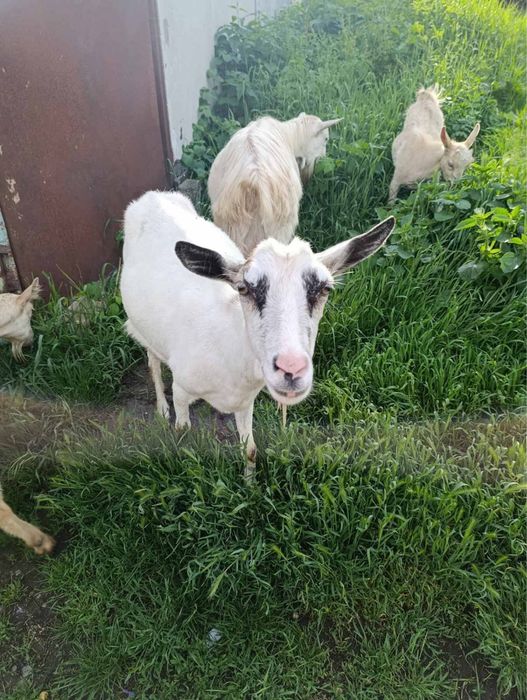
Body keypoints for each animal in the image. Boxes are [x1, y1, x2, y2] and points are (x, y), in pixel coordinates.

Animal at [120, 191, 394, 479]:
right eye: (244, 288)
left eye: (325, 288)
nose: (291, 369)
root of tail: (153, 196)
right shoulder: (182, 389)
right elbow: (182, 434)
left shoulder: (245, 401)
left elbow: (250, 449)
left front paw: (249, 483)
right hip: (143, 330)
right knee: (153, 361)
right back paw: (162, 409)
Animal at [208, 113, 342, 255]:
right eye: (326, 139)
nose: (323, 158)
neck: (291, 136)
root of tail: (256, 182)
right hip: (280, 229)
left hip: (232, 225)